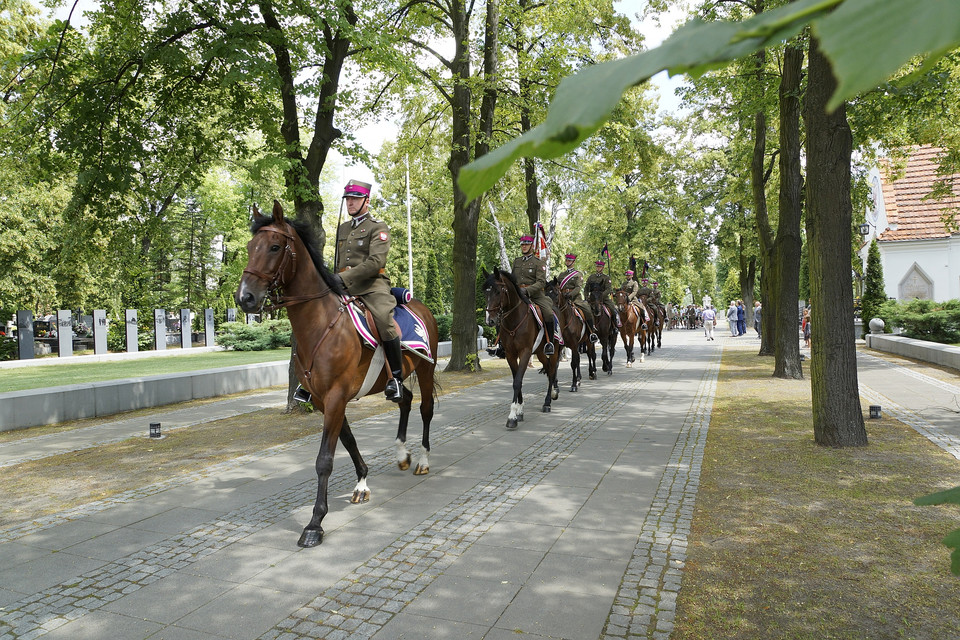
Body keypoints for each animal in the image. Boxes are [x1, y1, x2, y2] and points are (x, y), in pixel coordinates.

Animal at [236, 202, 438, 548]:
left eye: (274, 247)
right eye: (250, 247)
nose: (245, 298)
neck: (320, 322)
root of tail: (421, 305)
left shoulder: (335, 397)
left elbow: (324, 460)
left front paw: (314, 524)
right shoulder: (323, 399)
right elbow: (349, 440)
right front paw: (362, 483)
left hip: (425, 368)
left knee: (425, 409)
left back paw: (423, 461)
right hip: (396, 378)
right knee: (405, 399)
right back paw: (402, 453)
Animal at [484, 268, 560, 428]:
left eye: (498, 292)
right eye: (484, 292)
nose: (490, 320)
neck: (514, 321)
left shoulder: (525, 352)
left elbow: (518, 381)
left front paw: (512, 416)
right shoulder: (510, 354)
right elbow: (515, 379)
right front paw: (519, 410)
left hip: (554, 350)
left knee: (551, 372)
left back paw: (548, 402)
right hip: (540, 352)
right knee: (548, 368)